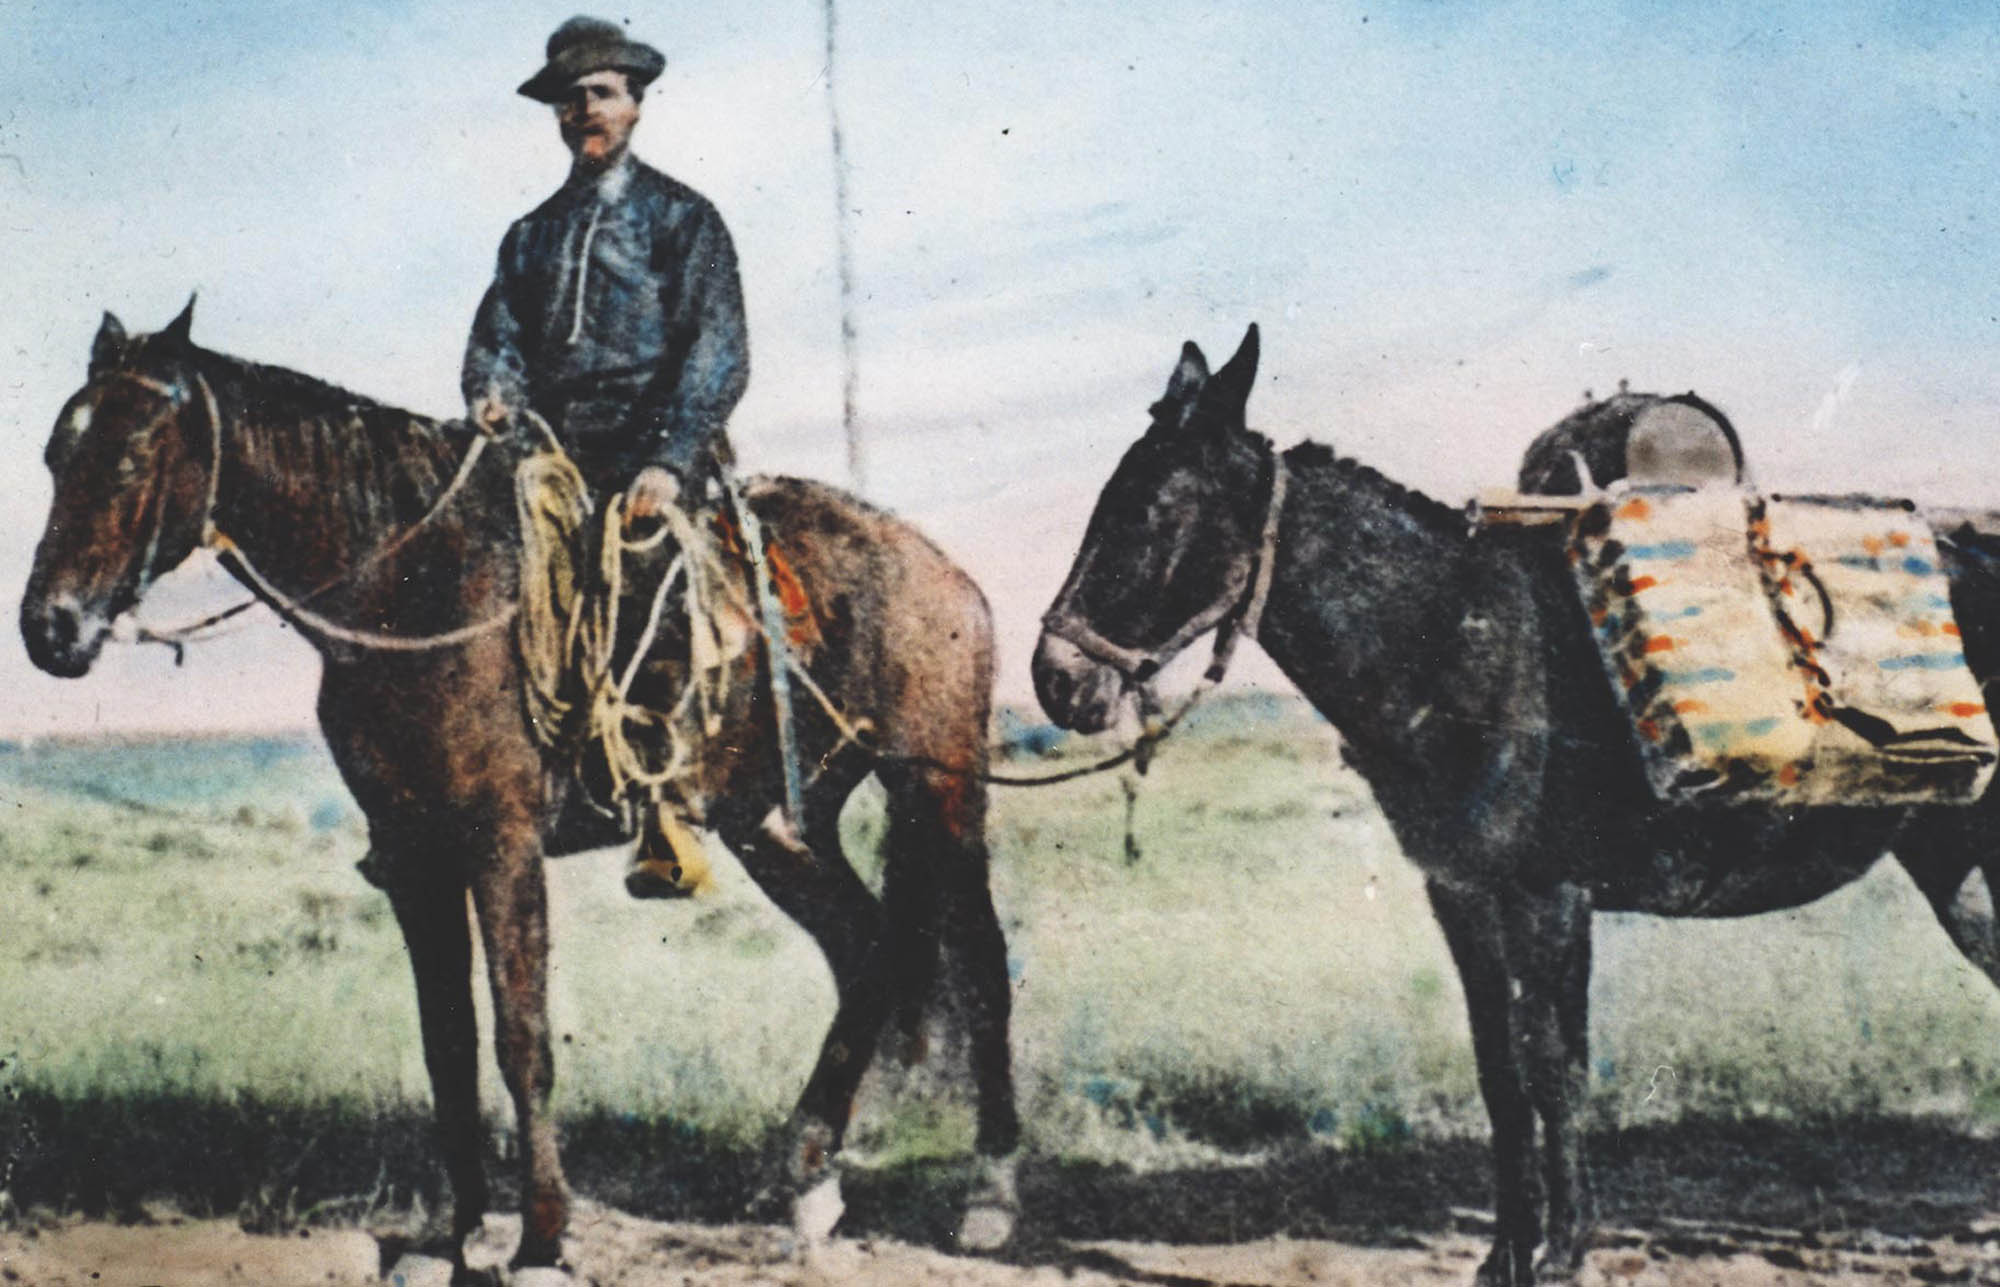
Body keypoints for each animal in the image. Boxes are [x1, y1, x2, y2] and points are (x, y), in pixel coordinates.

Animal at [27, 301, 1032, 1279]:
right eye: (54, 455)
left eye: (129, 455)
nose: (49, 627)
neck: (413, 585)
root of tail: (943, 571)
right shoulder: (415, 858)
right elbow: (449, 1044)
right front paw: (462, 1229)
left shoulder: (501, 844)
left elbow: (522, 1037)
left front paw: (543, 1236)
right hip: (778, 824)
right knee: (865, 945)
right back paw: (809, 1177)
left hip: (937, 790)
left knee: (979, 965)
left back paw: (990, 1195)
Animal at [1032, 327, 2000, 1287]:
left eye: (1152, 512)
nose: (1055, 681)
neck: (1463, 646)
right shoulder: (1463, 894)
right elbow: (1500, 1070)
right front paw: (1506, 1254)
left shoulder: (1549, 896)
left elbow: (1553, 1069)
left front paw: (1564, 1250)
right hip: (1956, 865)